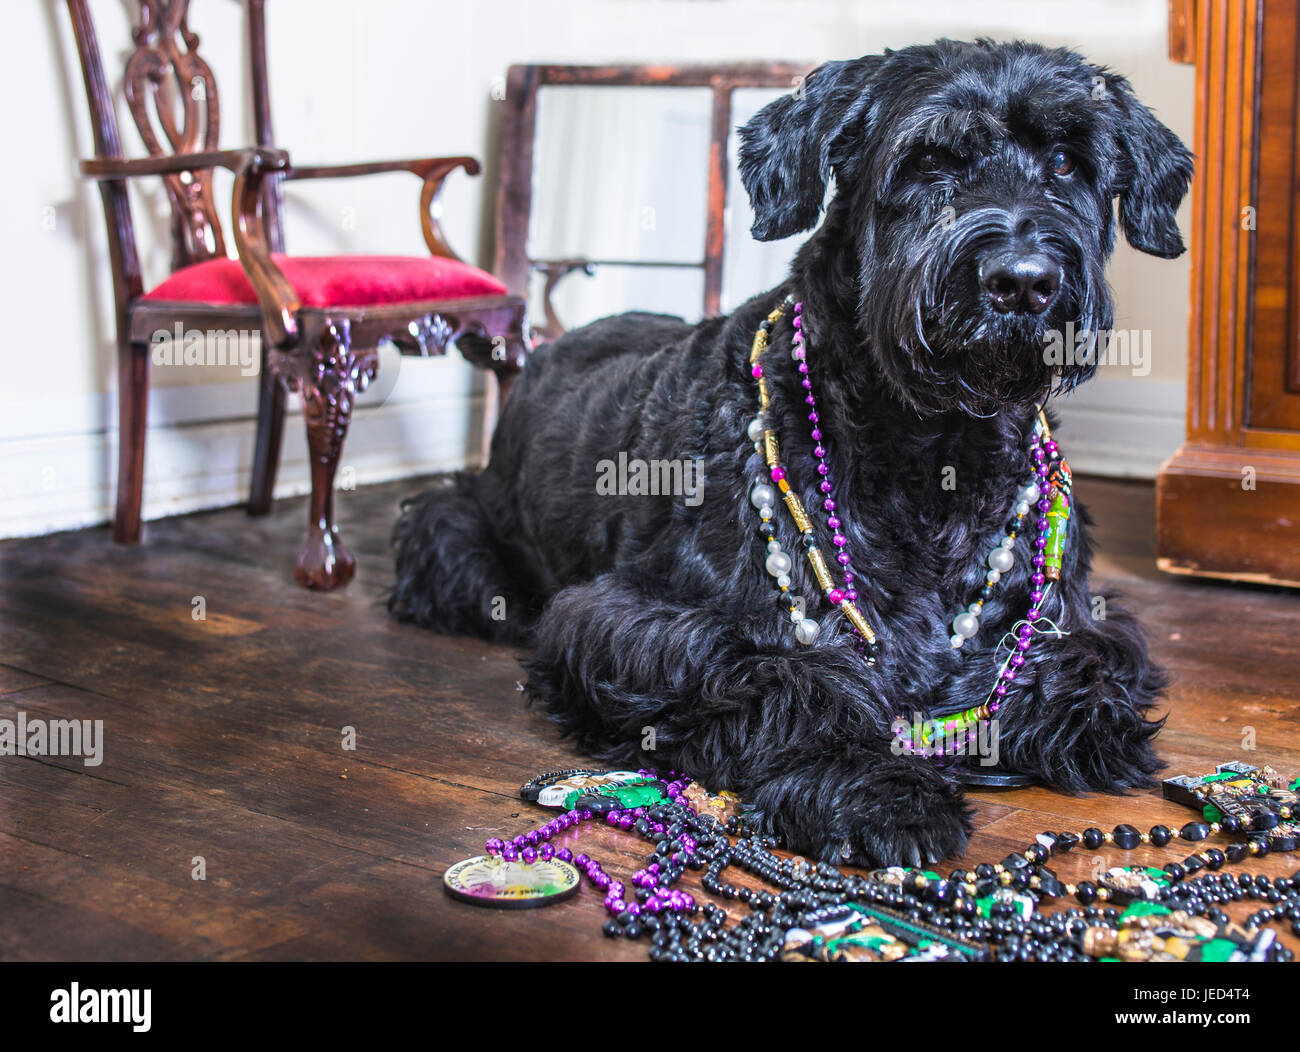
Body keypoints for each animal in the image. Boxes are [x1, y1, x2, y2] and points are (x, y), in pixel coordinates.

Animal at [390, 39, 1190, 863]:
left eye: (1066, 161)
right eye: (929, 161)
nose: (1023, 282)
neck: (934, 449)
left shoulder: (1078, 615)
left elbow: (1081, 660)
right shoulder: (625, 617)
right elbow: (787, 679)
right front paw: (876, 787)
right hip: (454, 535)